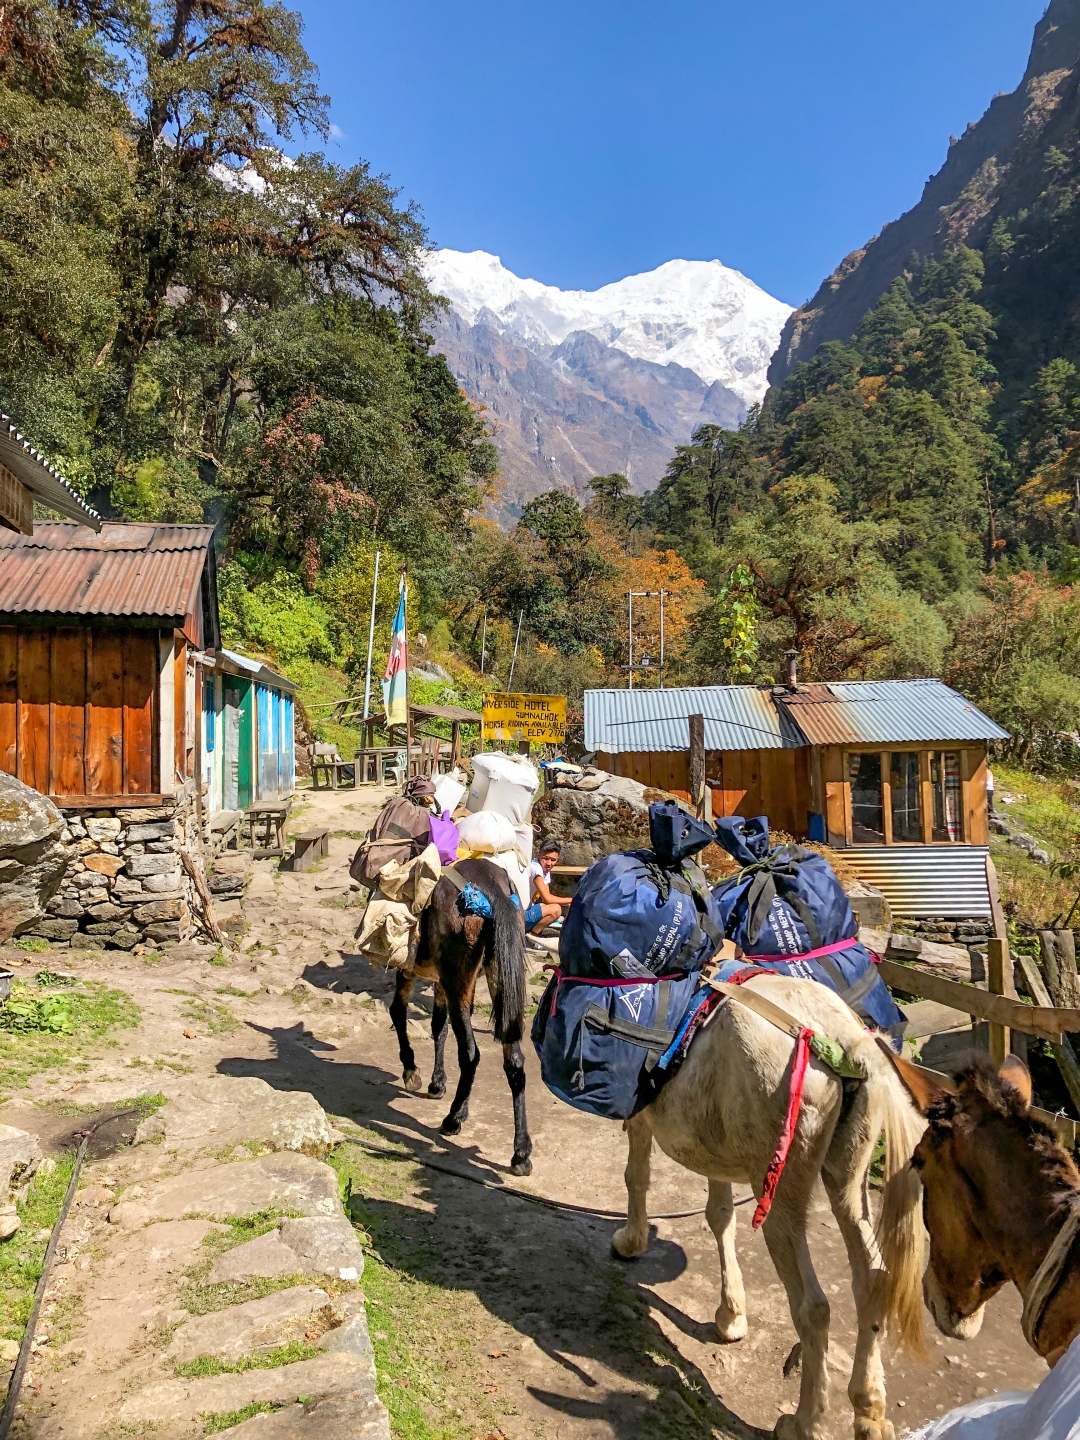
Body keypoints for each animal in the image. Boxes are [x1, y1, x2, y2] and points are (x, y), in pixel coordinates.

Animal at [388, 856, 533, 1176]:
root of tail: (491, 890)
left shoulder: (409, 968)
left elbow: (398, 1012)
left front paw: (412, 1072)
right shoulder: (441, 982)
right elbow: (438, 1026)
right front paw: (437, 1082)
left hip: (458, 982)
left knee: (470, 1054)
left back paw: (453, 1119)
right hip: (497, 976)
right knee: (515, 1061)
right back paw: (520, 1153)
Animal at [611, 973, 926, 1440]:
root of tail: (847, 1041)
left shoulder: (640, 1116)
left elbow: (637, 1176)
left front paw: (631, 1242)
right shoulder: (715, 1150)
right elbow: (720, 1216)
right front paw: (731, 1316)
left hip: (782, 1200)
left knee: (813, 1308)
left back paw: (804, 1421)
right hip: (848, 1183)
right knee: (873, 1279)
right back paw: (869, 1411)